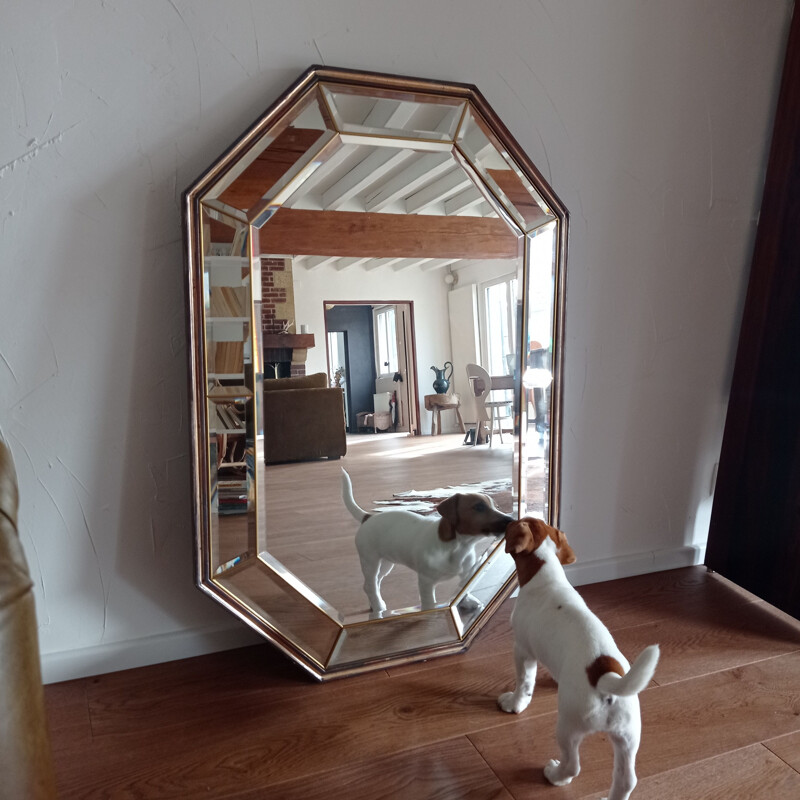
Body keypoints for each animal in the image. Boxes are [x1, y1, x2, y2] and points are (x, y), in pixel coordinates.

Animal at [340, 468, 510, 612]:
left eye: (496, 507)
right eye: (479, 507)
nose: (510, 520)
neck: (458, 546)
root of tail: (368, 517)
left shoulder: (466, 573)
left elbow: (463, 588)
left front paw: (466, 600)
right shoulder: (426, 582)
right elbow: (429, 603)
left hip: (387, 563)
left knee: (372, 583)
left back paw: (374, 603)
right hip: (370, 562)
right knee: (371, 584)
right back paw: (378, 606)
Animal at [500, 520, 664, 800]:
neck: (546, 574)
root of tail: (606, 678)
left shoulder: (522, 650)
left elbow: (524, 682)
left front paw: (514, 703)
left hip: (568, 728)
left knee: (573, 765)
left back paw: (555, 775)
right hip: (628, 737)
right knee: (626, 780)